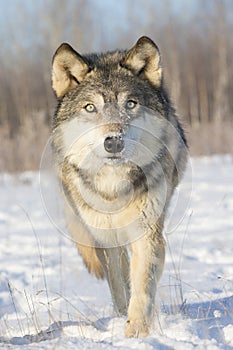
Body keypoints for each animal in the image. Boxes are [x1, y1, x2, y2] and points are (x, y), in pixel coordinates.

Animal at [51, 35, 187, 336]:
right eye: (91, 107)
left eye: (131, 104)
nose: (113, 142)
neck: (113, 188)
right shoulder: (105, 239)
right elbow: (118, 284)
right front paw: (124, 319)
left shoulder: (146, 233)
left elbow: (142, 285)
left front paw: (136, 330)